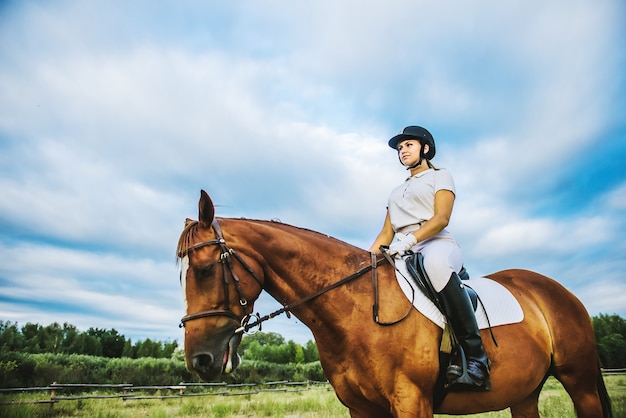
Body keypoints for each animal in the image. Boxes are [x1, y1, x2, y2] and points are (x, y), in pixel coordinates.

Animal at [176, 191, 608, 416]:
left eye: (204, 270)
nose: (199, 360)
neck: (355, 313)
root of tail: (559, 291)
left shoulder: (411, 402)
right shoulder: (361, 408)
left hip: (580, 382)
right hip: (524, 394)